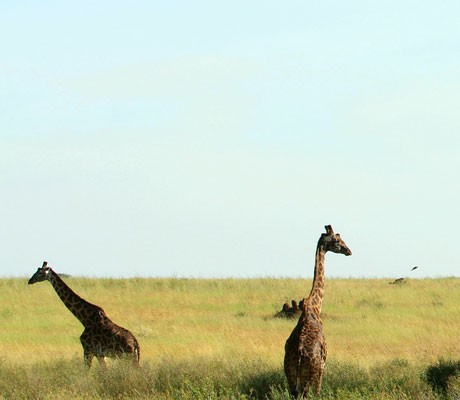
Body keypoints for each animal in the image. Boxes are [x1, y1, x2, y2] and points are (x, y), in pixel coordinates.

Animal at [284, 225, 352, 396]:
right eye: (337, 240)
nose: (349, 251)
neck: (315, 306)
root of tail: (299, 354)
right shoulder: (323, 365)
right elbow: (318, 392)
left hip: (290, 374)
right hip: (310, 373)